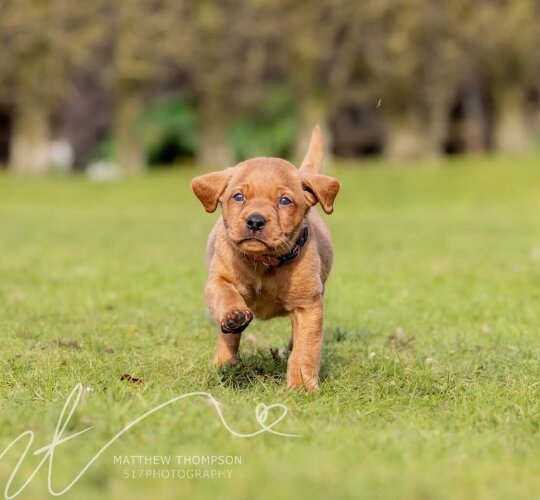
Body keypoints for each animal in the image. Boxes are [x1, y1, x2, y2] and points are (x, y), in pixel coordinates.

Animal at [192, 126, 340, 390]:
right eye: (238, 197)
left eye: (284, 201)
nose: (255, 221)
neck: (263, 262)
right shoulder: (217, 280)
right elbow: (226, 294)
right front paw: (234, 313)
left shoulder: (308, 305)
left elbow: (305, 350)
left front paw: (302, 386)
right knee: (227, 338)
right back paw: (224, 361)